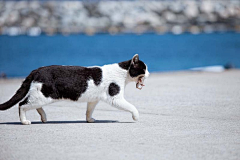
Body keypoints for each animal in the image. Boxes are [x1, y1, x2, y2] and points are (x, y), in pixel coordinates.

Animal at [0, 54, 149, 124]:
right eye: (144, 69)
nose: (148, 74)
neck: (123, 74)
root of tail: (37, 70)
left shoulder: (93, 99)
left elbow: (89, 110)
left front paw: (89, 120)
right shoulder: (115, 98)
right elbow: (132, 107)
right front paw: (136, 116)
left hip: (42, 96)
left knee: (34, 106)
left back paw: (44, 117)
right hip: (42, 95)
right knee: (22, 104)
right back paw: (24, 121)